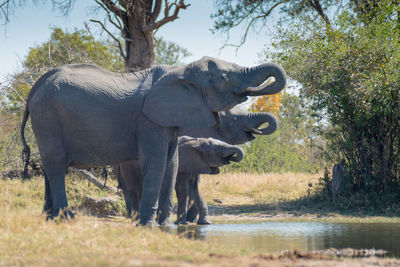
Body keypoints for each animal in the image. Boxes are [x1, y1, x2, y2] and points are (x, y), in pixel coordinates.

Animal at [116, 136, 244, 224]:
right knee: (133, 188)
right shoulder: (182, 165)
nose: (233, 157)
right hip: (127, 167)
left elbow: (194, 190)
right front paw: (180, 223)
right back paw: (136, 219)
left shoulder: (193, 166)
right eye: (217, 149)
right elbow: (183, 190)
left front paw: (205, 223)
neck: (197, 142)